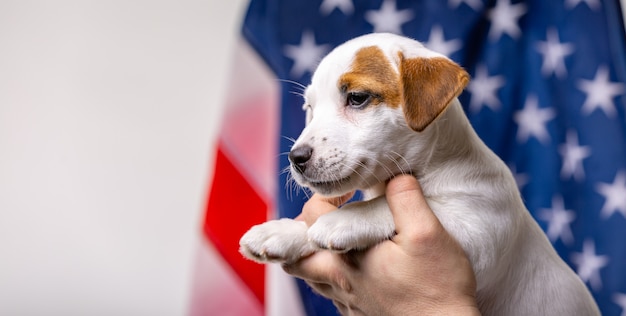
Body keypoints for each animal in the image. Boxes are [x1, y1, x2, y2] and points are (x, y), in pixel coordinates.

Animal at [238, 33, 596, 314]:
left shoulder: (478, 229)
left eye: (357, 98)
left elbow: (390, 206)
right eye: (309, 109)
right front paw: (284, 231)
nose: (295, 157)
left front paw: (343, 219)